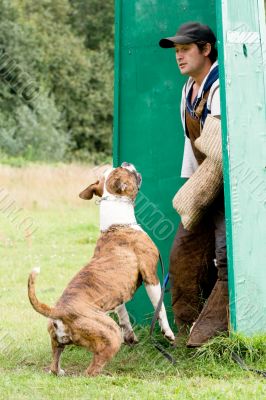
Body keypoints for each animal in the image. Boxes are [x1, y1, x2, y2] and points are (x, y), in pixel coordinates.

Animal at [28, 161, 175, 376]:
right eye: (123, 170)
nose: (126, 162)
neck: (118, 224)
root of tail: (58, 312)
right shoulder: (150, 276)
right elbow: (160, 307)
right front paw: (168, 333)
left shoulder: (118, 294)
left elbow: (123, 314)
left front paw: (130, 335)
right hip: (109, 334)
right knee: (91, 371)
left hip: (58, 341)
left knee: (55, 363)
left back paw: (60, 371)